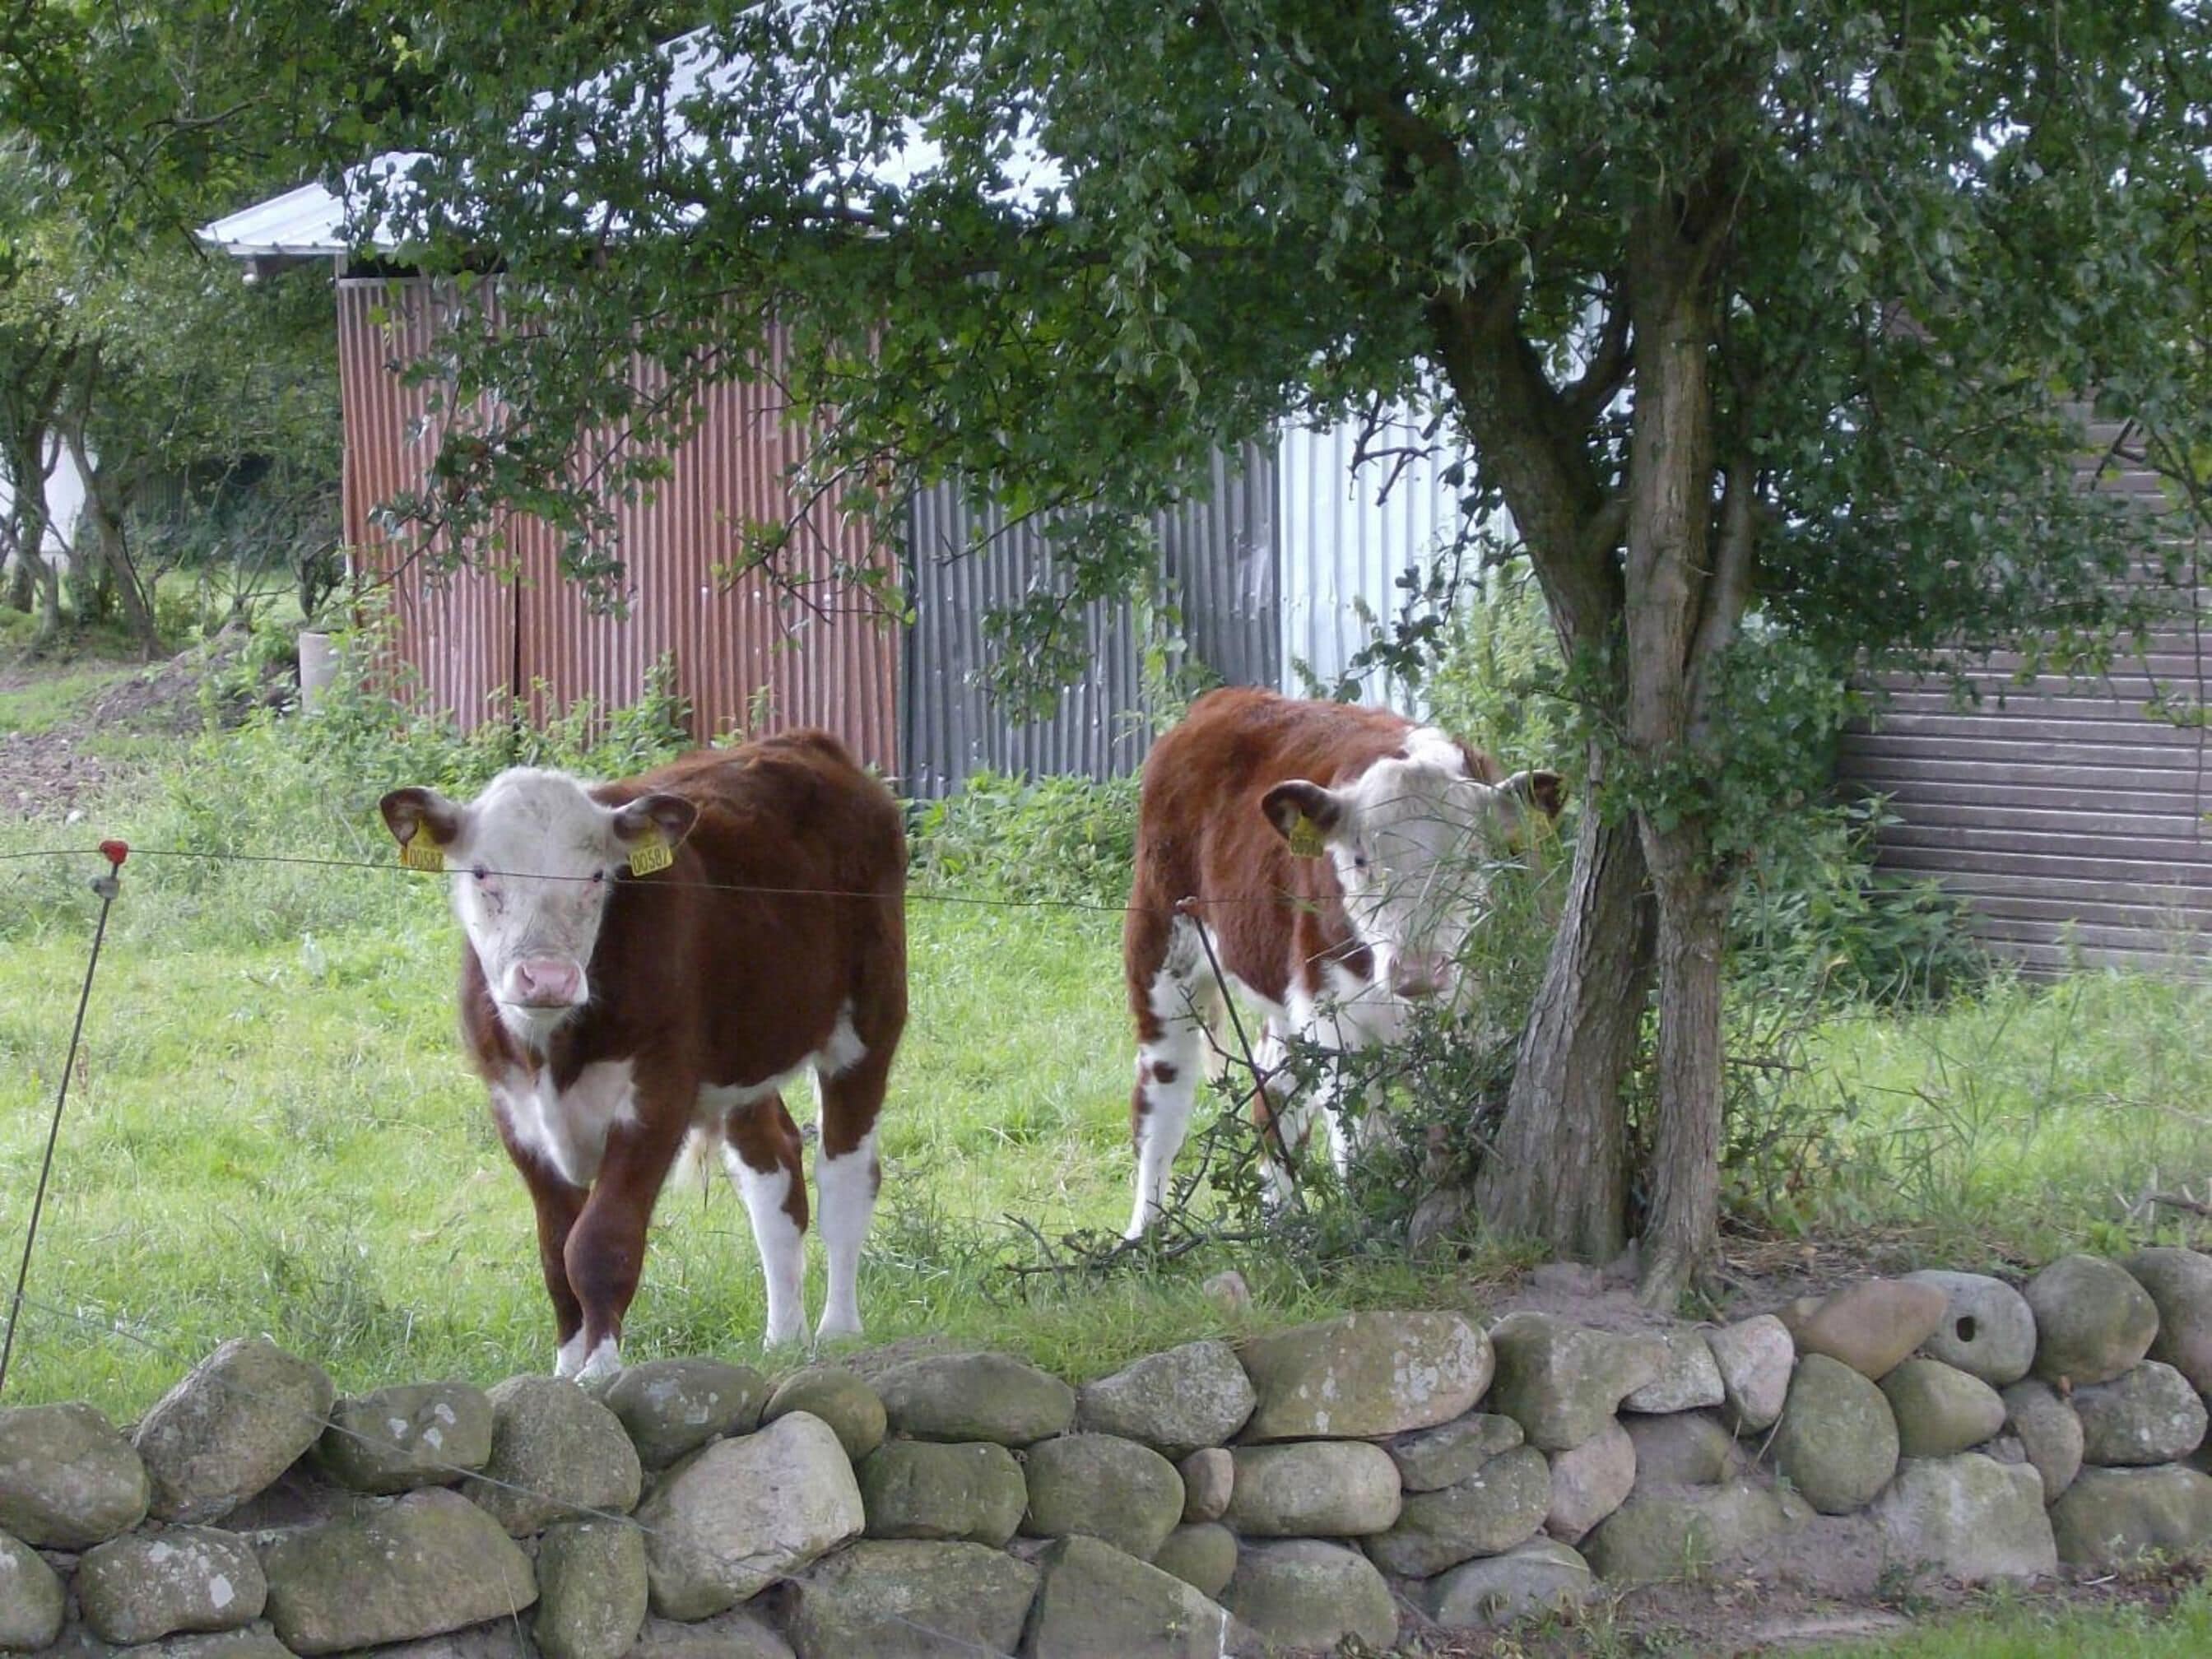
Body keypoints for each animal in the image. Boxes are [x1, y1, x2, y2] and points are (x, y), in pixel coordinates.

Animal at [379, 732, 906, 1381]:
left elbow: (599, 1241)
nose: (547, 977)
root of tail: (810, 744)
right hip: (745, 1052)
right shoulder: (513, 1109)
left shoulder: (657, 1092)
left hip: (870, 1019)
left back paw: (838, 1332)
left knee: (845, 1177)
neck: (553, 1051)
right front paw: (566, 1366)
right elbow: (555, 1249)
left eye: (596, 876)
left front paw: (601, 1370)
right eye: (482, 872)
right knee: (775, 1172)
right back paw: (783, 1338)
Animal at [1121, 687, 1563, 1239]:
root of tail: (1223, 698)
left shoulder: (1493, 1014)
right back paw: (1144, 1236)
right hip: (1161, 947)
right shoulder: (1337, 1023)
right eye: (1359, 859)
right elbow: (1364, 1151)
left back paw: (1282, 1224)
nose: (1417, 972)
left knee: (1273, 1097)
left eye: (1471, 858)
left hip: (1284, 998)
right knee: (1161, 1099)